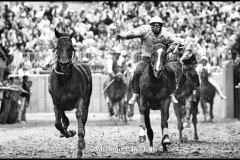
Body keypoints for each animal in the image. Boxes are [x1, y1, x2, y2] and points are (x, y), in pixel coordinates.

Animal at [47, 27, 92, 158]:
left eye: (71, 46)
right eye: (58, 46)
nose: (64, 63)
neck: (64, 79)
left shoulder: (79, 99)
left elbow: (79, 115)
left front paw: (80, 142)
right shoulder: (56, 102)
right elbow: (58, 123)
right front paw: (68, 132)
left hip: (87, 99)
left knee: (84, 118)